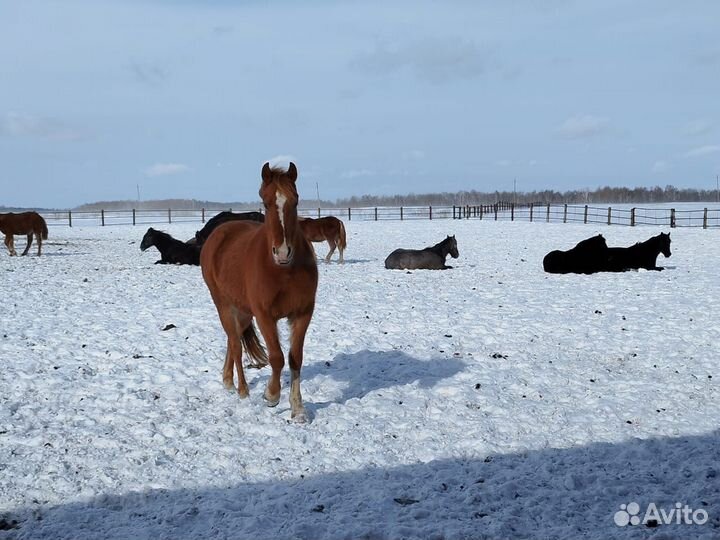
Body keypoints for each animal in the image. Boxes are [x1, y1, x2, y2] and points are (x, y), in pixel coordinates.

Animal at [200, 162, 318, 422]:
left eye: (295, 200)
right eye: (265, 202)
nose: (282, 252)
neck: (283, 271)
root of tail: (219, 233)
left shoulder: (302, 314)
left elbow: (295, 358)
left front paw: (298, 409)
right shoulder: (265, 316)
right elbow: (277, 357)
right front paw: (271, 395)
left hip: (244, 312)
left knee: (232, 340)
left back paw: (227, 380)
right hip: (224, 305)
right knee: (235, 345)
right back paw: (242, 390)